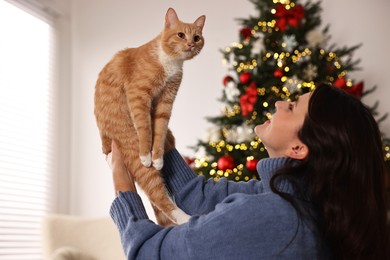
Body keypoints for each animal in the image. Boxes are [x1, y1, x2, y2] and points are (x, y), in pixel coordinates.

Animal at [94, 8, 206, 225]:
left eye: (196, 37)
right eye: (181, 35)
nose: (190, 44)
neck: (170, 63)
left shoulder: (165, 103)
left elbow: (160, 132)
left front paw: (158, 158)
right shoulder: (138, 96)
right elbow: (145, 127)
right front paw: (147, 155)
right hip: (130, 143)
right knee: (158, 194)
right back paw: (185, 219)